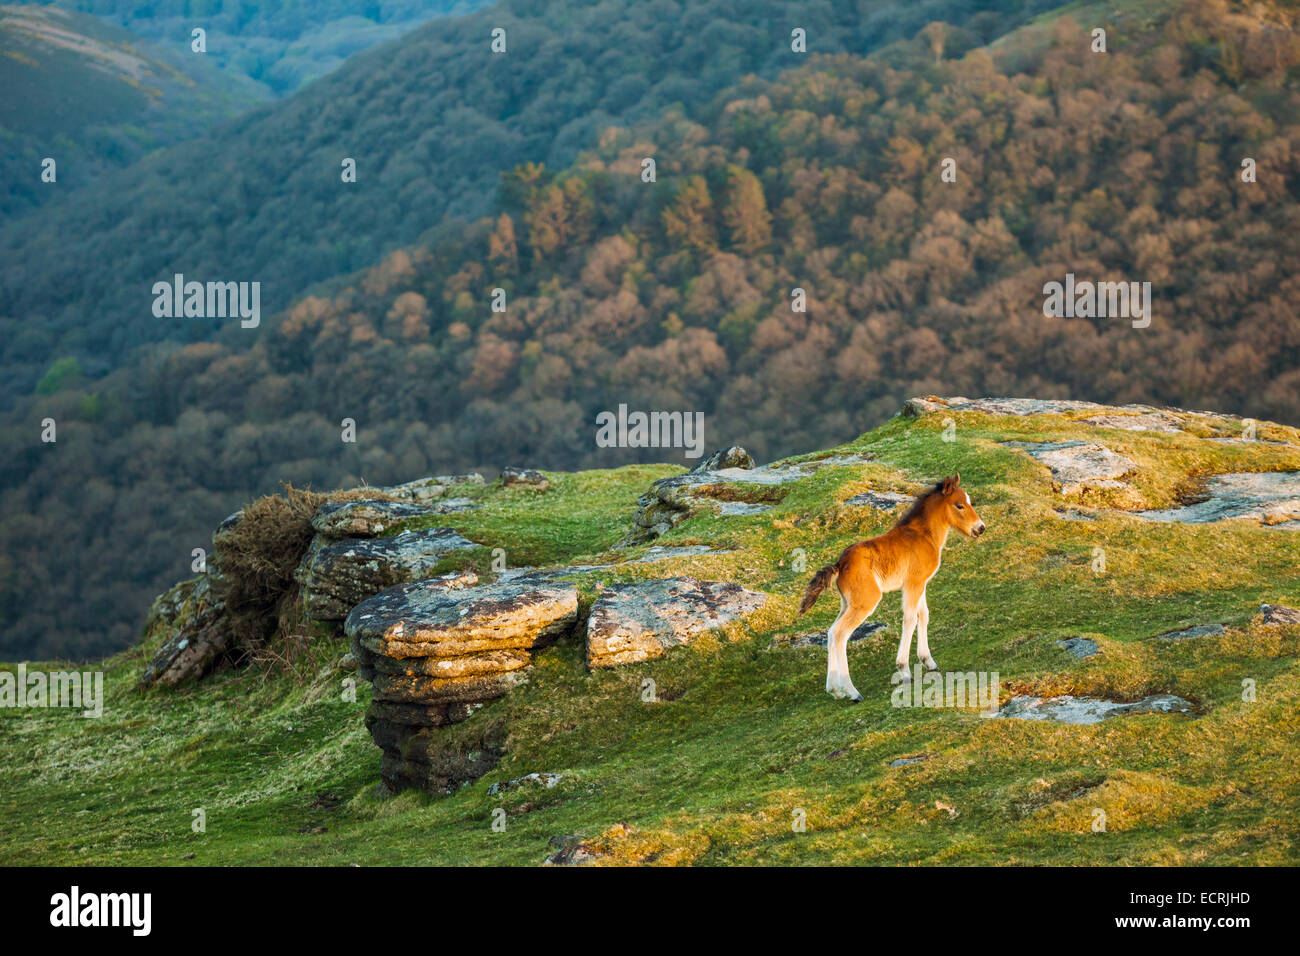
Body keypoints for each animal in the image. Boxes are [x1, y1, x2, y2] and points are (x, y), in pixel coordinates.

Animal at [798, 473, 985, 702]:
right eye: (959, 505)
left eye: (969, 501)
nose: (980, 528)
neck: (924, 535)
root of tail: (840, 564)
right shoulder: (913, 584)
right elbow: (910, 619)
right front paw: (904, 670)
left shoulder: (920, 584)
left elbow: (923, 615)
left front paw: (928, 661)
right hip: (865, 602)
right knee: (841, 634)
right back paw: (852, 692)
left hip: (847, 603)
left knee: (832, 632)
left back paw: (835, 690)